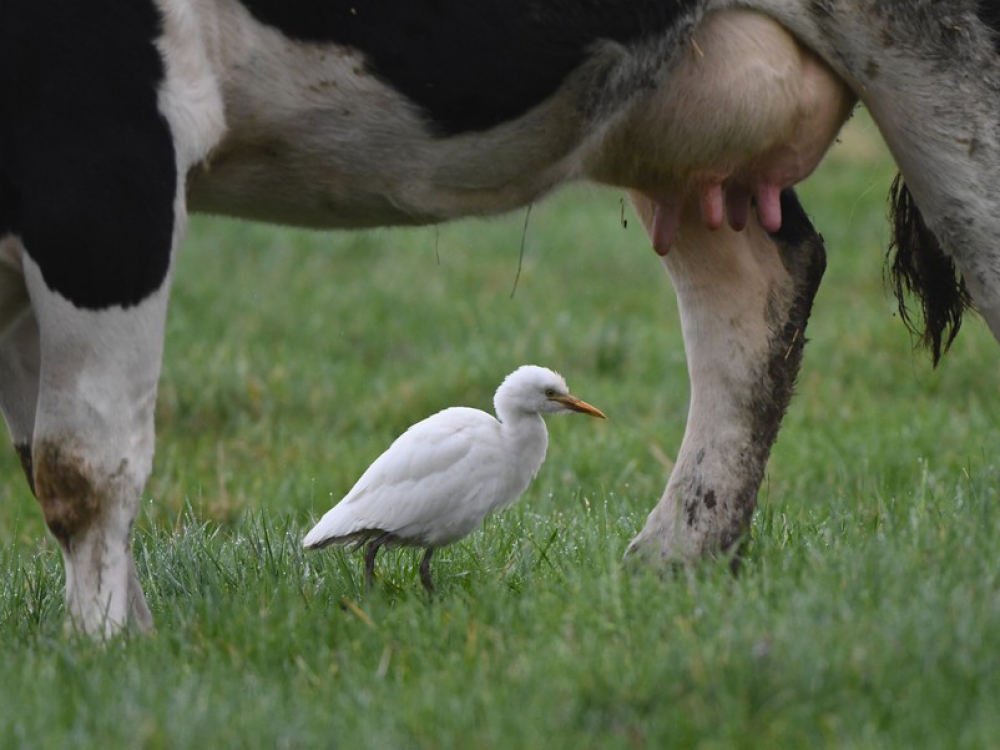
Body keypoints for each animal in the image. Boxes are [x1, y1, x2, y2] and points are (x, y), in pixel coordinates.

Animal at [1, 0, 1000, 636]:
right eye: (553, 391)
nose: (577, 405)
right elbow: (56, 461)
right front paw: (117, 645)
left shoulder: (102, 154)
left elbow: (77, 466)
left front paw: (105, 651)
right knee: (760, 291)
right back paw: (675, 563)